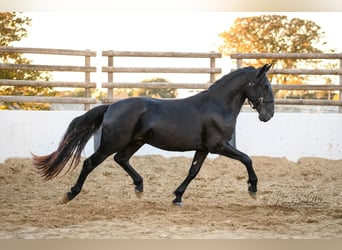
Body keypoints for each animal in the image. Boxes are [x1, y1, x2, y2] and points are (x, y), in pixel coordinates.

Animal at [33, 63, 276, 206]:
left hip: (135, 141)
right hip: (113, 142)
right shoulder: (218, 146)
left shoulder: (204, 148)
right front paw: (253, 188)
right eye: (264, 85)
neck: (216, 106)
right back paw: (70, 194)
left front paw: (177, 197)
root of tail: (111, 106)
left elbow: (193, 172)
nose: (269, 115)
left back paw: (139, 187)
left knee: (121, 159)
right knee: (91, 163)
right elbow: (246, 159)